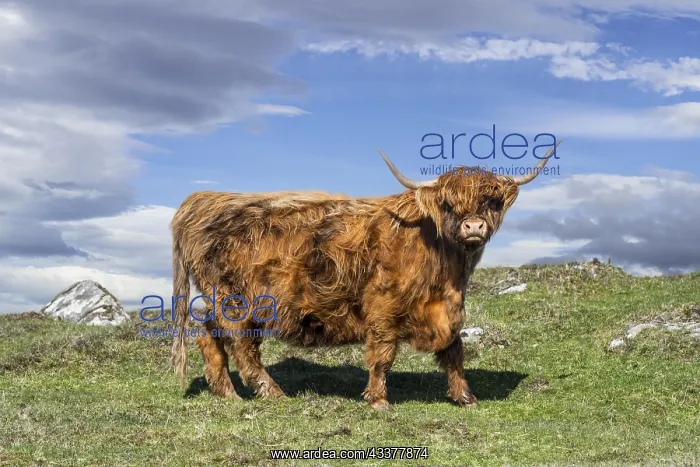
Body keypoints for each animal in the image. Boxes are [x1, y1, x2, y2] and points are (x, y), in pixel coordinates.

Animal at [169, 140, 561, 410]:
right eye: (449, 205)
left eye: (491, 202)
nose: (474, 226)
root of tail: (203, 200)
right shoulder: (383, 307)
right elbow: (382, 354)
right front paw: (378, 400)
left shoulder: (450, 307)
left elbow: (454, 351)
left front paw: (465, 397)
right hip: (236, 300)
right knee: (242, 347)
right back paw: (272, 393)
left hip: (220, 299)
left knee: (209, 336)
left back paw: (227, 394)